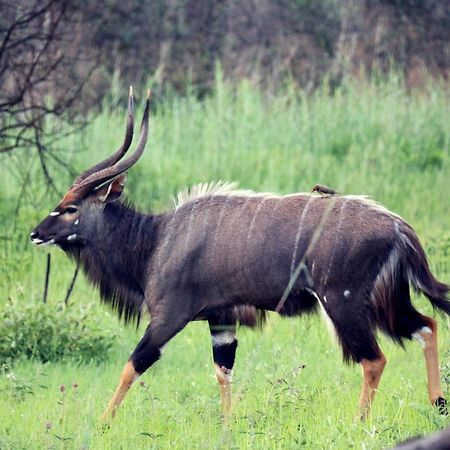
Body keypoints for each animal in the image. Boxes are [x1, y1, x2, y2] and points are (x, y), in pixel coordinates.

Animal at [29, 89, 448, 422]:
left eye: (70, 208)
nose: (35, 234)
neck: (155, 240)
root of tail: (398, 226)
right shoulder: (222, 321)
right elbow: (223, 373)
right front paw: (227, 426)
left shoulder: (169, 317)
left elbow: (132, 365)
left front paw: (103, 424)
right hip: (385, 301)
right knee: (427, 325)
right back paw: (437, 403)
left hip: (344, 303)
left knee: (374, 359)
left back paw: (359, 422)